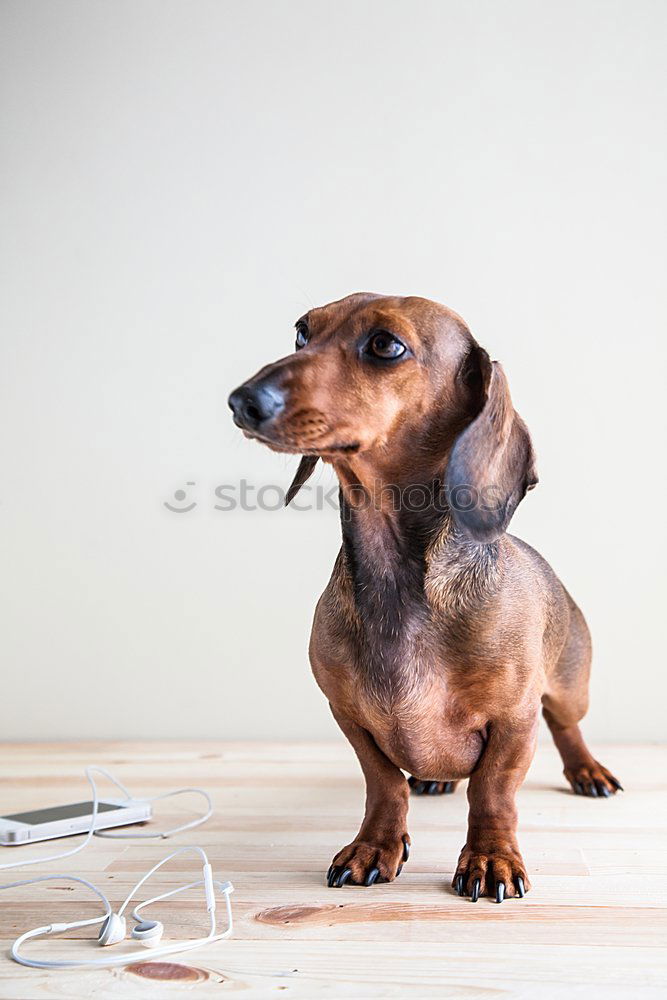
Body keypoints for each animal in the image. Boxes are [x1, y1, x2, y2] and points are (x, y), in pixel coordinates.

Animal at [228, 292, 620, 904]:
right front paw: (373, 847)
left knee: (568, 726)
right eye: (301, 332)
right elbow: (384, 784)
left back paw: (588, 771)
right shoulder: (350, 717)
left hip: (568, 686)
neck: (399, 581)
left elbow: (492, 791)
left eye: (386, 344)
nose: (242, 401)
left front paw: (490, 858)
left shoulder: (514, 720)